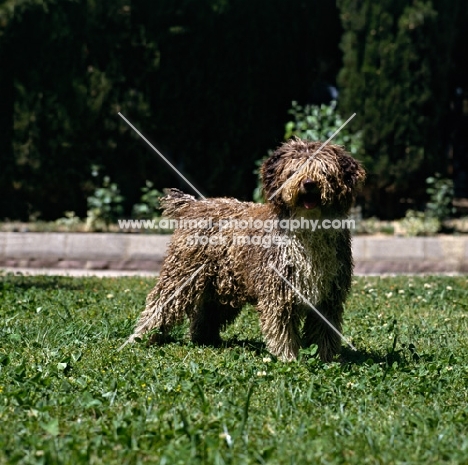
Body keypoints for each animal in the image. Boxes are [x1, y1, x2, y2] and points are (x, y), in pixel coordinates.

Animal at [125, 136, 366, 360]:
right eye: (293, 170)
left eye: (324, 170)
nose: (308, 184)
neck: (309, 232)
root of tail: (194, 204)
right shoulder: (280, 291)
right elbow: (283, 328)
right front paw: (287, 358)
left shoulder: (329, 296)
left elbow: (324, 331)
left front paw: (327, 359)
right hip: (182, 276)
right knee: (159, 306)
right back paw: (142, 337)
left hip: (221, 284)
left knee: (205, 315)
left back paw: (205, 340)